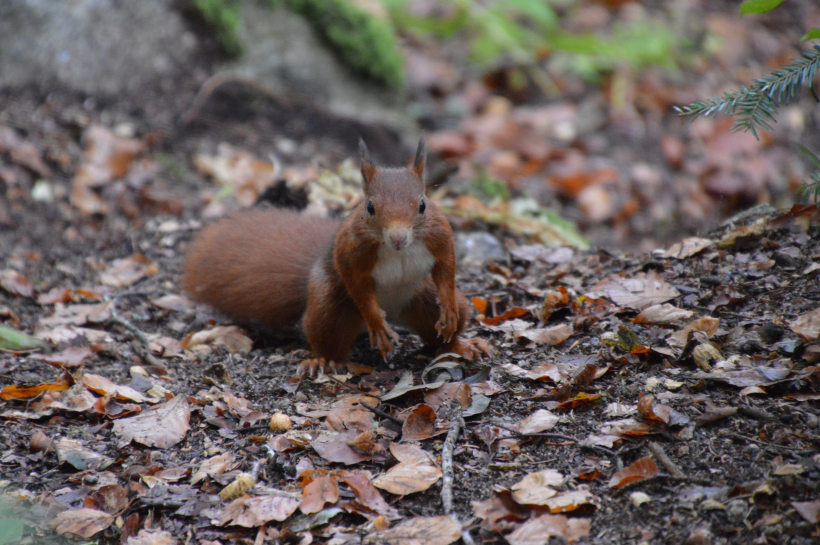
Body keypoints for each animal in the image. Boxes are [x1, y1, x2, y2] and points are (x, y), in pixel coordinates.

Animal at [183, 138, 490, 372]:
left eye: (423, 205)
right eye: (369, 207)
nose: (398, 238)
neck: (397, 250)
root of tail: (394, 311)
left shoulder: (440, 236)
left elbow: (446, 268)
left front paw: (447, 306)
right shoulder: (350, 252)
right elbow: (357, 284)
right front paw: (376, 323)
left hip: (424, 299)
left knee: (440, 334)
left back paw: (460, 344)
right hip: (329, 304)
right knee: (326, 334)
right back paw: (325, 360)